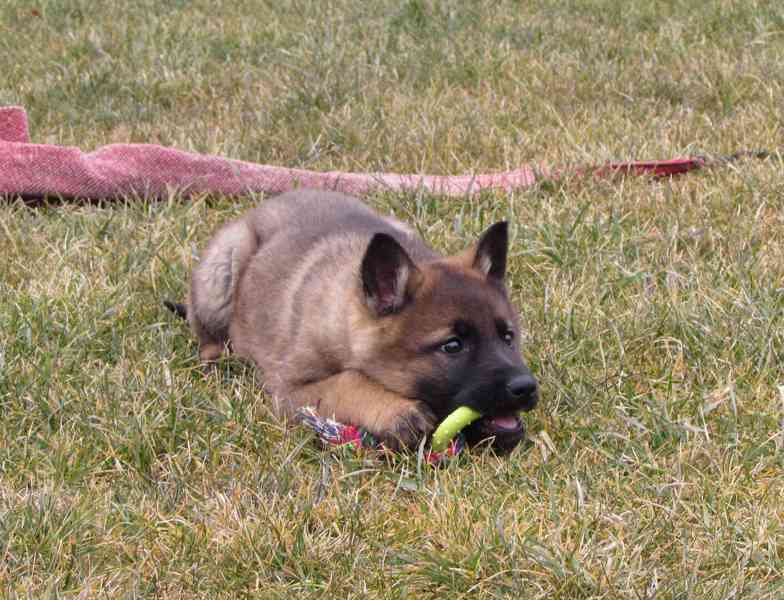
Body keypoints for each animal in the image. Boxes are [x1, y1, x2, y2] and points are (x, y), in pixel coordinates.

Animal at [175, 191, 536, 450]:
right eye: (453, 346)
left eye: (507, 337)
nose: (527, 387)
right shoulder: (289, 390)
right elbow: (345, 382)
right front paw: (395, 411)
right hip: (224, 264)